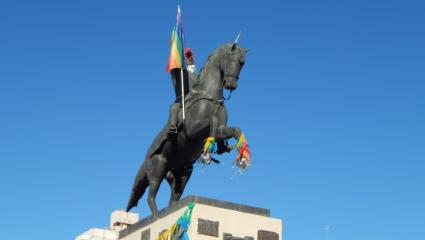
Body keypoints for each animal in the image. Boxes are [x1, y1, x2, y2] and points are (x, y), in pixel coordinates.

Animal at [126, 42, 247, 215]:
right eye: (230, 59)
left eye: (242, 63)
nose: (231, 85)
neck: (212, 98)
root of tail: (145, 160)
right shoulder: (192, 130)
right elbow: (212, 121)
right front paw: (207, 152)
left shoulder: (223, 129)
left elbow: (235, 129)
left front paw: (242, 155)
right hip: (158, 167)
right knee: (151, 196)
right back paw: (157, 215)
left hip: (182, 174)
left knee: (173, 199)